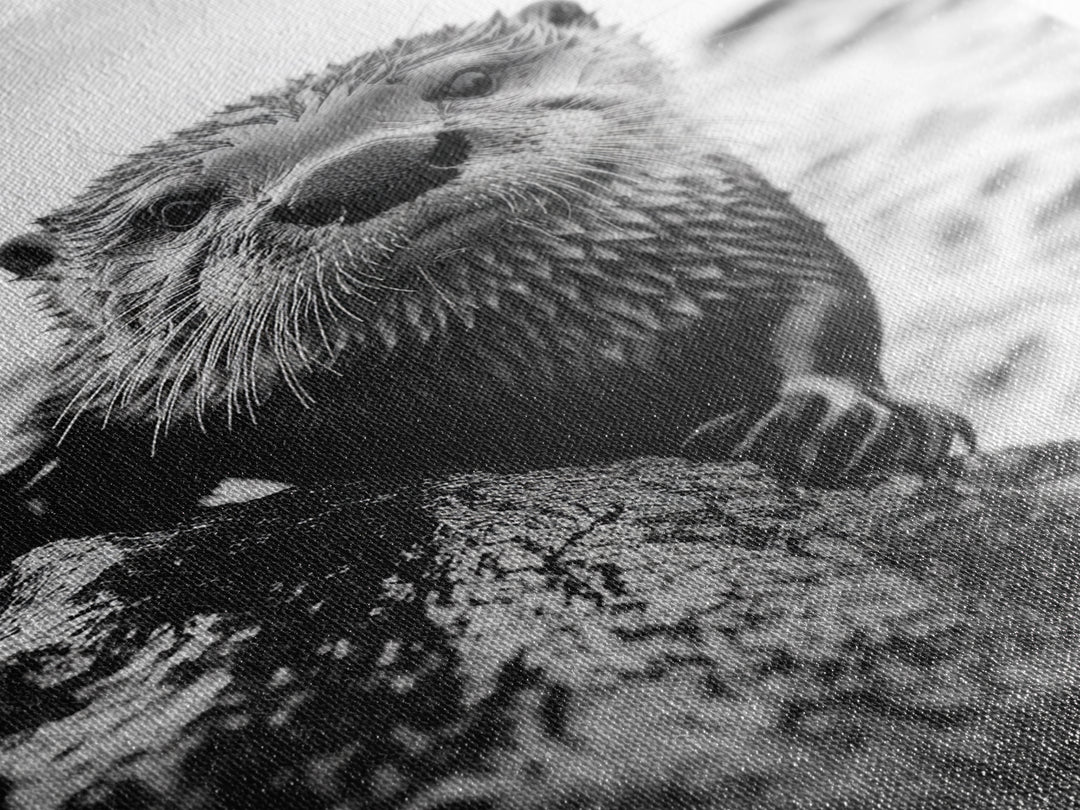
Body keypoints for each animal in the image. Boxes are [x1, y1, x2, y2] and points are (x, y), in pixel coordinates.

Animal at [0, 1, 972, 548]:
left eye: (471, 79)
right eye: (176, 211)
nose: (368, 168)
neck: (544, 385)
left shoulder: (740, 218)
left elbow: (824, 299)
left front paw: (837, 416)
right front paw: (41, 479)